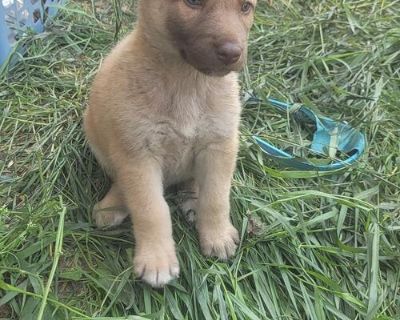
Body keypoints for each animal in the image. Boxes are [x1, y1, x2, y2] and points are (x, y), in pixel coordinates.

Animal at [85, 0, 258, 286]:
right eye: (193, 3)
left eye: (246, 7)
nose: (233, 53)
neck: (186, 82)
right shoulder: (139, 157)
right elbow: (151, 209)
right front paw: (157, 259)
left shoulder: (220, 145)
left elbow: (216, 197)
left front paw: (217, 235)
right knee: (122, 181)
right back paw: (114, 204)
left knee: (194, 182)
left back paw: (193, 199)